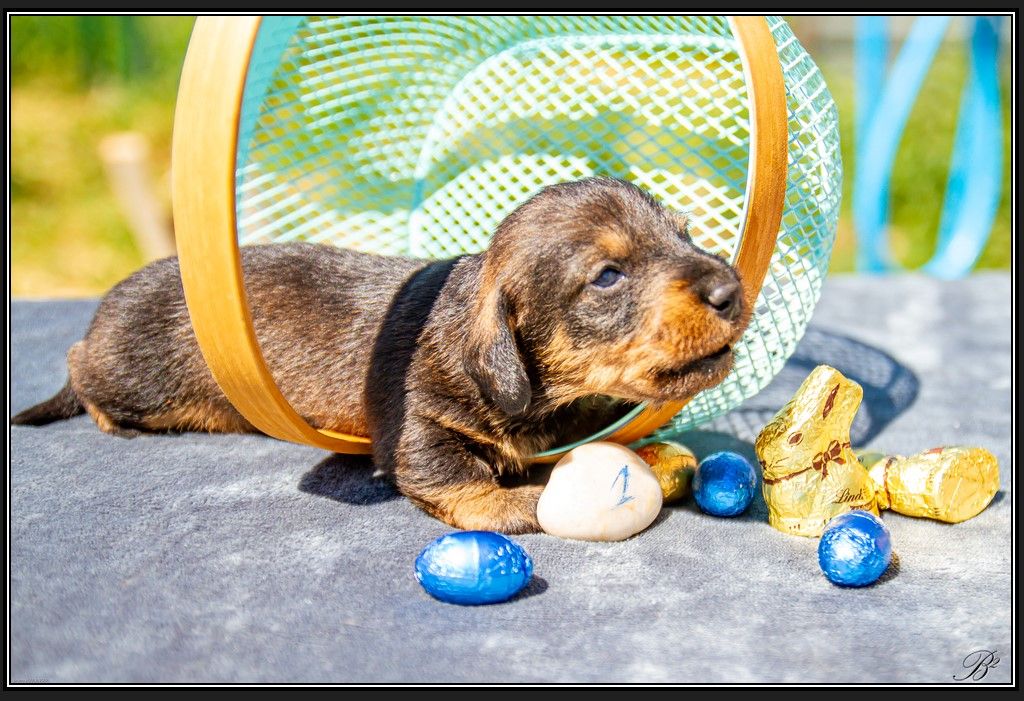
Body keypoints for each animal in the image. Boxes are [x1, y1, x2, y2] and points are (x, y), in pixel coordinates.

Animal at [13, 177, 749, 533]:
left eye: (685, 235)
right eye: (607, 276)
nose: (731, 288)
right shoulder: (417, 418)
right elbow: (448, 466)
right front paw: (509, 503)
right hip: (137, 376)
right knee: (80, 368)